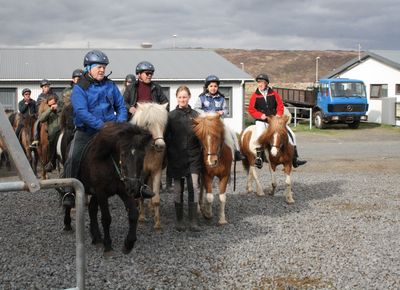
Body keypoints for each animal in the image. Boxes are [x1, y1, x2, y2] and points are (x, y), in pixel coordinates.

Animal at [63, 122, 155, 254]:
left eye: (142, 156)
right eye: (123, 154)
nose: (133, 187)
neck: (110, 164)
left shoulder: (124, 190)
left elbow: (133, 214)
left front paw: (129, 243)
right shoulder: (102, 192)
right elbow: (106, 218)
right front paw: (108, 245)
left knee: (92, 209)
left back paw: (96, 237)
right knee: (69, 201)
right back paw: (67, 224)